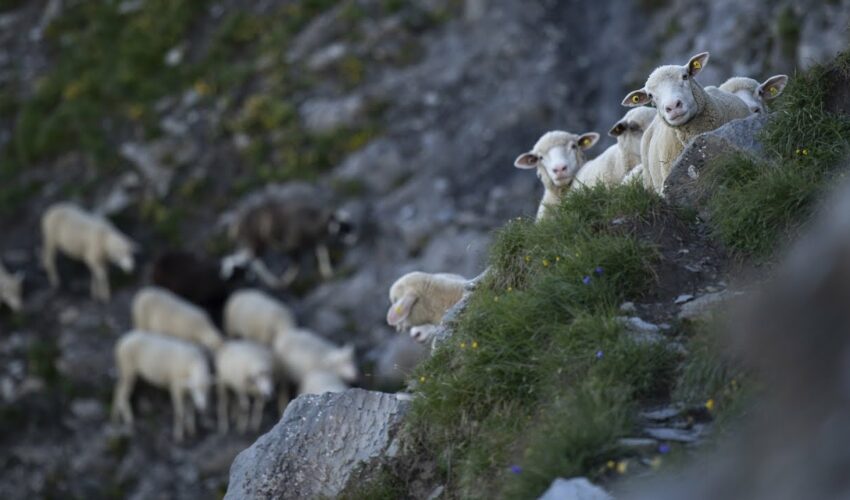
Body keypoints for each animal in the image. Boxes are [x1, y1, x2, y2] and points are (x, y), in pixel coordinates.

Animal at [220, 182, 356, 288]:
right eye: (343, 227)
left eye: (350, 226)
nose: (353, 239)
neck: (311, 221)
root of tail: (236, 224)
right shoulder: (293, 244)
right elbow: (296, 264)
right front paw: (287, 280)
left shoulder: (316, 240)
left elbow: (322, 254)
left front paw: (327, 272)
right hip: (256, 240)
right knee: (256, 261)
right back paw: (273, 281)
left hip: (251, 242)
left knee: (245, 257)